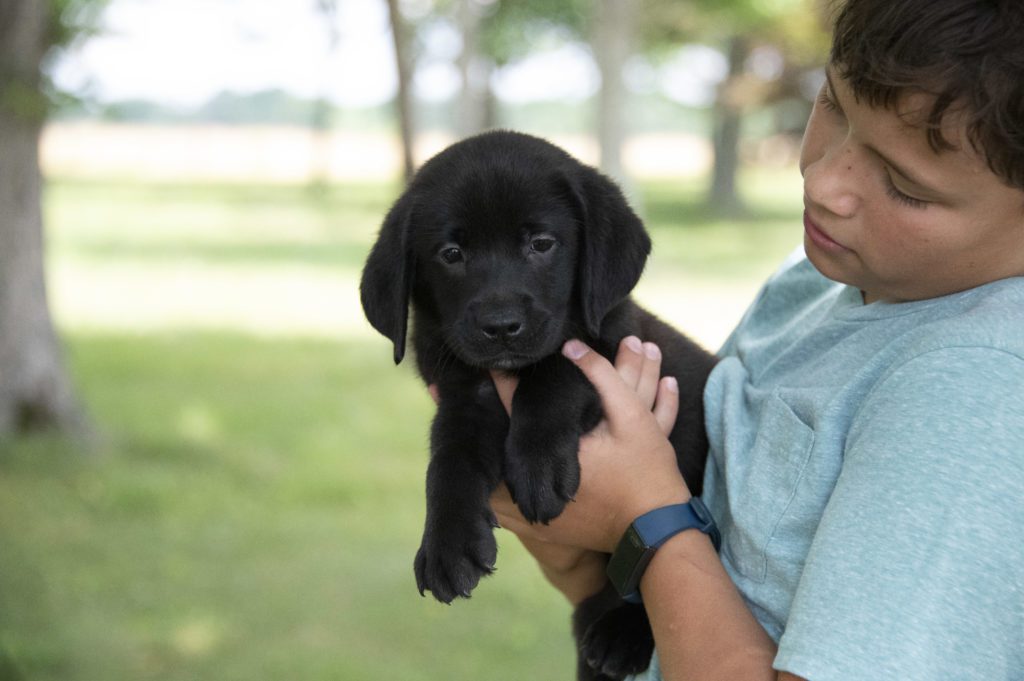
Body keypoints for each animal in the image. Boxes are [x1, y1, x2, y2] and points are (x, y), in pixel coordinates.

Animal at [364, 129, 716, 679]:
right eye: (451, 253)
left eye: (542, 244)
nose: (501, 325)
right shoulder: (463, 400)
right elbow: (447, 461)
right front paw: (446, 545)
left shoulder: (607, 339)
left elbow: (556, 369)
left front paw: (537, 467)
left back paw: (621, 633)